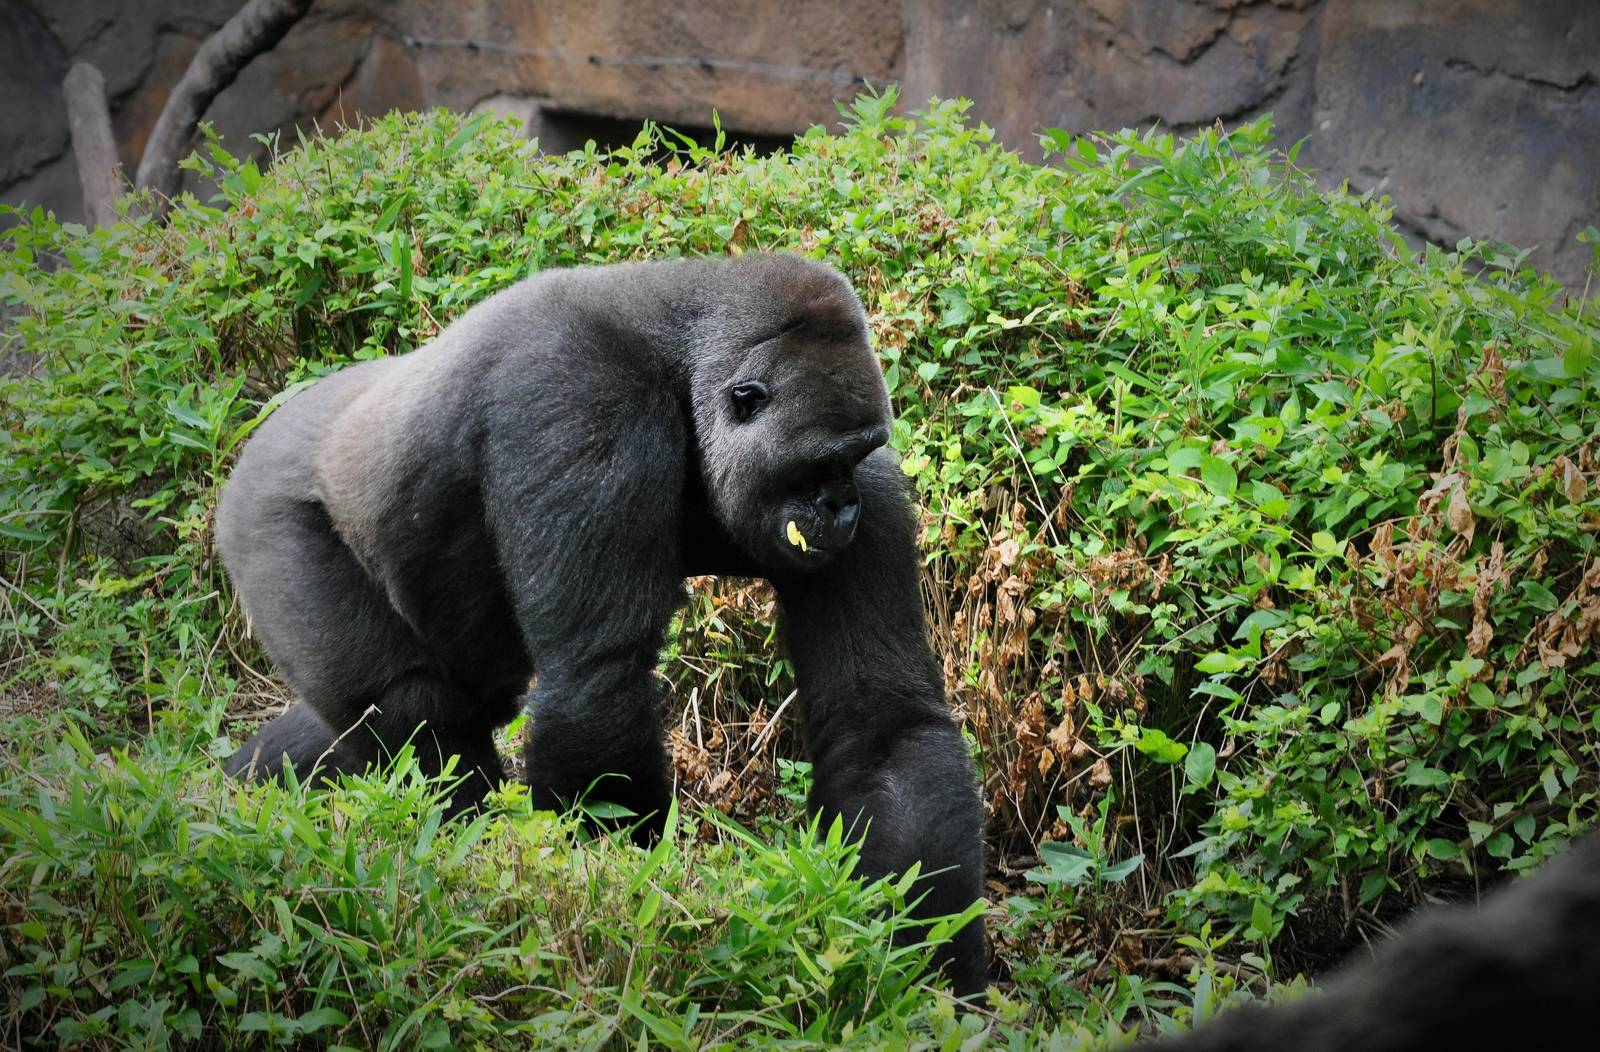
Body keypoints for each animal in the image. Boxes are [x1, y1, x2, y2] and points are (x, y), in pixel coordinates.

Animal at [216, 253, 987, 993]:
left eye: (857, 455)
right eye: (823, 462)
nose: (842, 507)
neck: (684, 360)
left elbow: (882, 723)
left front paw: (929, 974)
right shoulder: (585, 394)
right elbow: (597, 681)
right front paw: (622, 899)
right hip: (269, 520)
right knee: (410, 702)